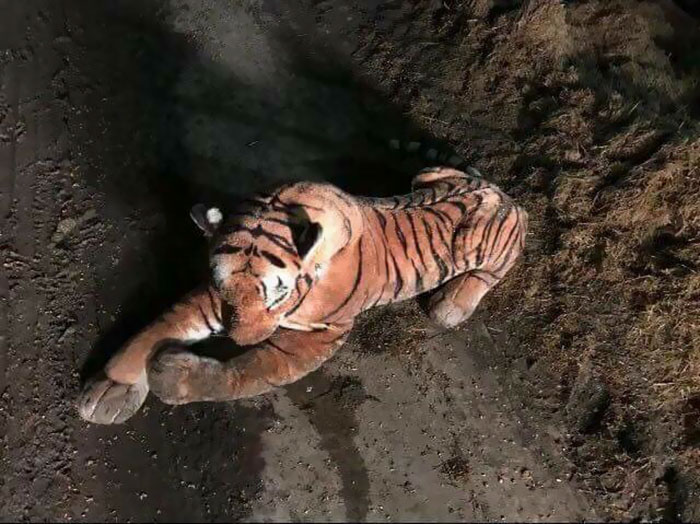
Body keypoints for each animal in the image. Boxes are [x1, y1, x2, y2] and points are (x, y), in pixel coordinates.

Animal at [78, 163, 528, 425]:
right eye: (226, 290)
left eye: (273, 297)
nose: (236, 338)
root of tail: (500, 190)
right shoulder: (214, 297)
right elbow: (157, 327)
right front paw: (111, 388)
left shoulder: (317, 336)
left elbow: (247, 372)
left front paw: (174, 377)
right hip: (428, 174)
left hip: (484, 245)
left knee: (499, 261)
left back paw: (451, 304)